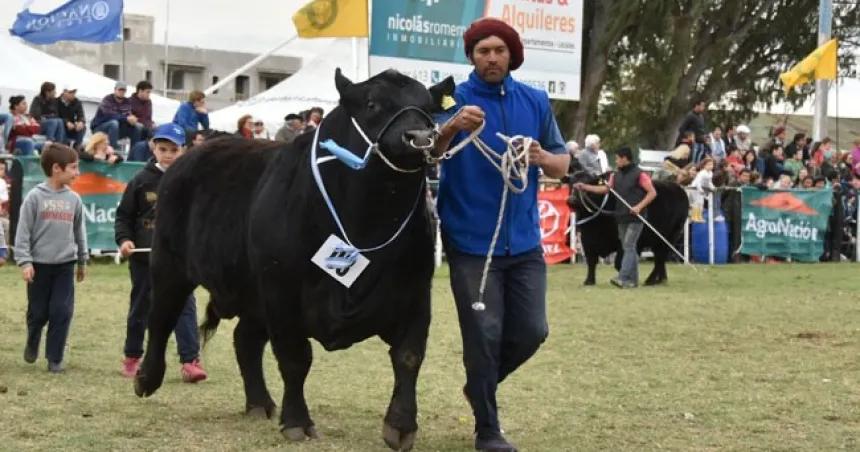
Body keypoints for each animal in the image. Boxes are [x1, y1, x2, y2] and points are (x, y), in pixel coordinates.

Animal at [131, 68, 454, 452]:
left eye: (429, 109)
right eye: (372, 103)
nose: (419, 137)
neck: (366, 223)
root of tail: (196, 152)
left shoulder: (416, 291)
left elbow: (408, 356)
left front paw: (401, 426)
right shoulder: (282, 291)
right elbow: (295, 358)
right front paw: (298, 422)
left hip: (250, 292)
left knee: (245, 340)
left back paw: (259, 403)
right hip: (169, 264)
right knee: (161, 318)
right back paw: (145, 379)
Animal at [564, 160, 692, 286]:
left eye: (589, 182)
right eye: (571, 183)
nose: (572, 200)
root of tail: (678, 188)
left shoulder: (622, 242)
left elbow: (619, 262)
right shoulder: (588, 239)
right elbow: (591, 261)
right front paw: (589, 281)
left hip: (670, 237)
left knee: (661, 258)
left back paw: (651, 280)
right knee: (659, 259)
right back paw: (660, 279)